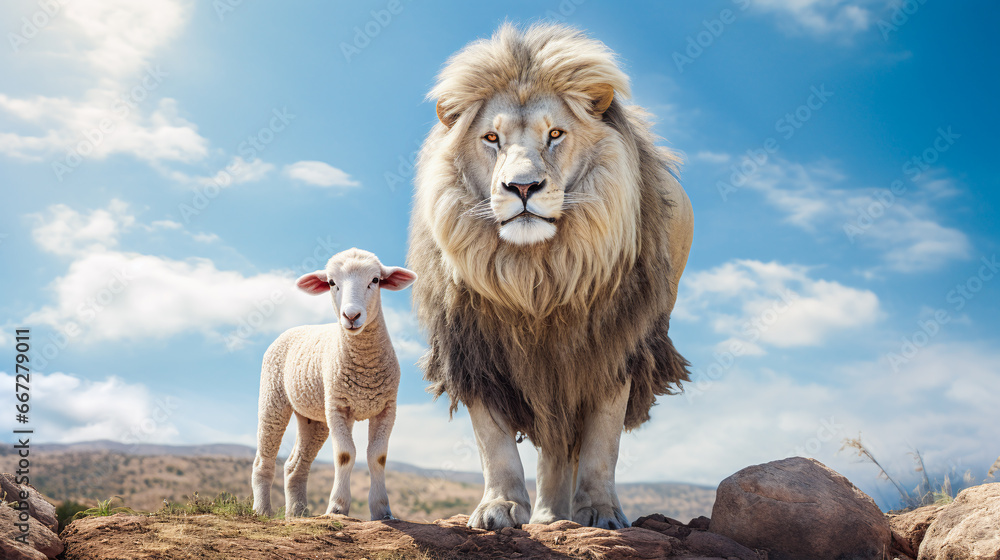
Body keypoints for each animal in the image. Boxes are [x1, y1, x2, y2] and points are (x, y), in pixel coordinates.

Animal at [251, 248, 417, 520]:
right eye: (331, 282)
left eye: (375, 280)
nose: (351, 316)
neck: (365, 367)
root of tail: (294, 329)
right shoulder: (338, 406)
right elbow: (345, 455)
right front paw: (337, 507)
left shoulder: (386, 408)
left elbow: (378, 457)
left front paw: (382, 510)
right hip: (273, 397)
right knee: (263, 458)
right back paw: (262, 511)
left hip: (315, 418)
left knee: (295, 465)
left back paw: (297, 514)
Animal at [407, 23, 694, 530]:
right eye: (491, 138)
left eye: (555, 134)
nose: (522, 187)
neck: (535, 276)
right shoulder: (472, 349)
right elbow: (493, 442)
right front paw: (499, 507)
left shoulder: (614, 345)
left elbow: (603, 441)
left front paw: (601, 512)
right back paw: (545, 515)